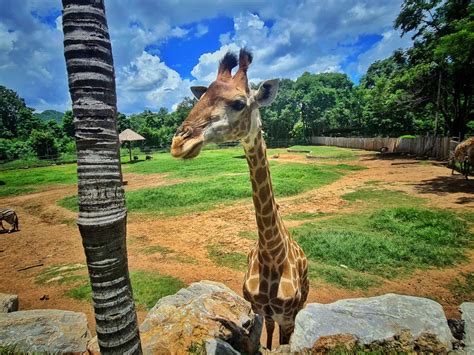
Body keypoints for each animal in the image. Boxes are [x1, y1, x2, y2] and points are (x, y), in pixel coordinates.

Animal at [172, 48, 310, 350]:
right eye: (201, 98)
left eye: (238, 103)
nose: (178, 143)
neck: (272, 255)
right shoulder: (259, 309)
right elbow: (260, 340)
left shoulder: (288, 316)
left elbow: (285, 343)